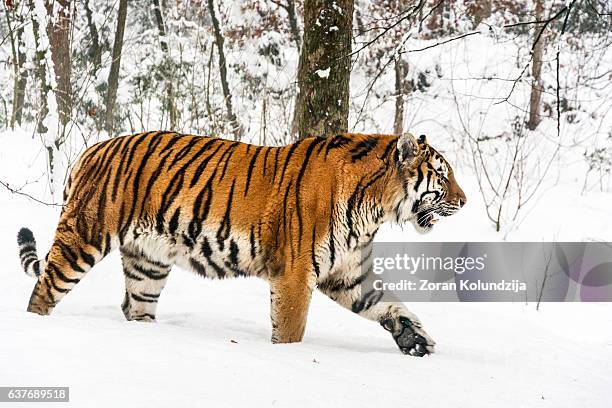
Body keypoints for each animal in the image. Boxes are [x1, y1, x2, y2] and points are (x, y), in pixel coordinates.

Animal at [17, 131, 468, 356]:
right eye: (442, 176)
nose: (464, 202)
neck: (375, 208)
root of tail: (91, 149)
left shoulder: (347, 275)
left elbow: (389, 304)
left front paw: (415, 339)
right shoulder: (295, 275)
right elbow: (291, 331)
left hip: (148, 262)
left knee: (136, 307)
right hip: (83, 236)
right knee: (44, 290)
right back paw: (36, 327)